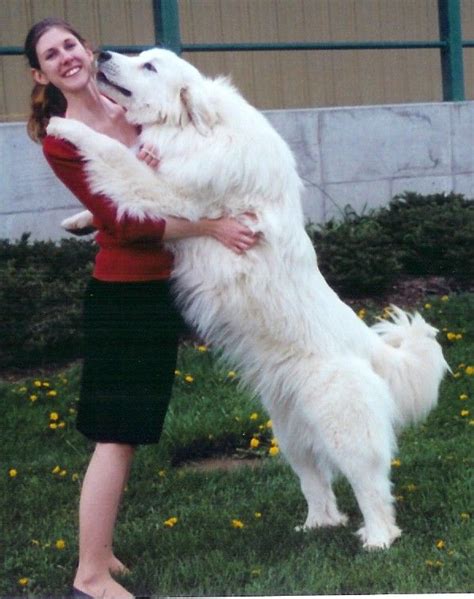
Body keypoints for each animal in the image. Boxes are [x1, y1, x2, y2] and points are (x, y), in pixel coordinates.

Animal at [48, 49, 448, 552]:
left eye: (150, 66)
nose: (102, 54)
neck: (196, 128)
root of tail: (368, 348)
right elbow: (114, 177)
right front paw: (78, 220)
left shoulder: (170, 194)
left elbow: (114, 156)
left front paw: (64, 126)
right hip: (290, 434)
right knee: (317, 482)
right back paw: (317, 524)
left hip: (346, 430)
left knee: (371, 485)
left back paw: (377, 539)